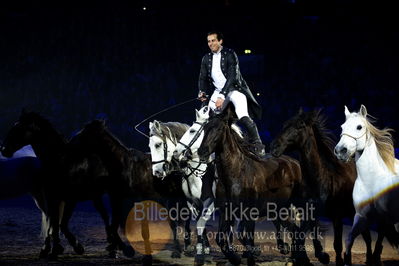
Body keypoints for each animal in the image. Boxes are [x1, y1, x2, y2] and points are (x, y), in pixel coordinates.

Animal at [198, 105, 318, 266]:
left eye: (218, 129)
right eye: (205, 128)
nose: (202, 151)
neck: (235, 174)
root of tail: (296, 163)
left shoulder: (248, 214)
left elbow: (248, 239)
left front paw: (251, 255)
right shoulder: (226, 212)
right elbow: (221, 239)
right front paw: (235, 258)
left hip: (297, 206)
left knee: (300, 229)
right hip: (279, 210)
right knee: (293, 229)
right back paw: (293, 255)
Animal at [334, 105, 399, 264]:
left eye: (359, 127)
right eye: (342, 127)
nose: (340, 151)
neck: (372, 181)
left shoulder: (386, 219)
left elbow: (378, 243)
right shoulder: (361, 217)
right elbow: (349, 239)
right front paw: (347, 260)